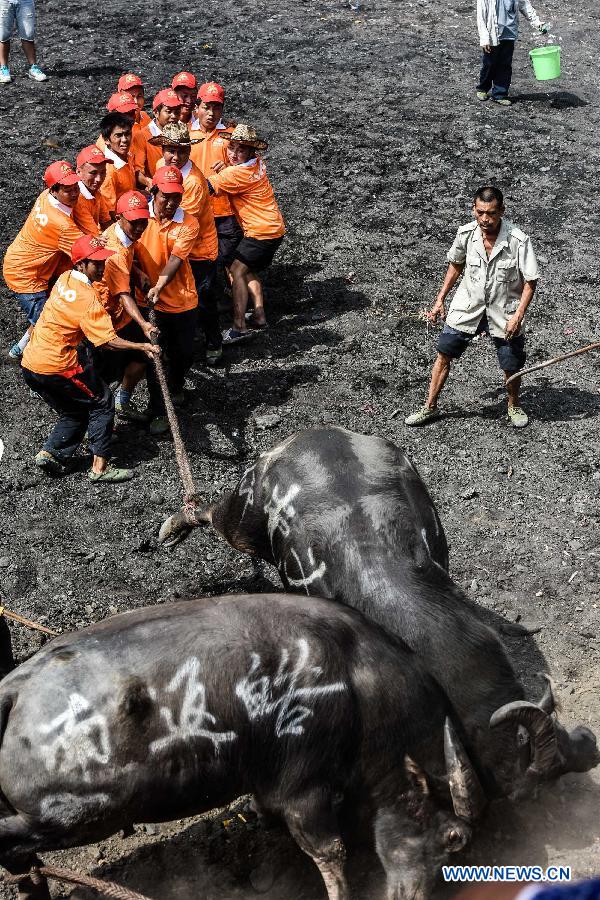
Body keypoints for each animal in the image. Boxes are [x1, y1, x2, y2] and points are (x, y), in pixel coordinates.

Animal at [0, 592, 480, 900]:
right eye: (452, 837)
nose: (411, 895)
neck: (358, 687)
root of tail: (18, 687)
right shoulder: (304, 790)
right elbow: (331, 852)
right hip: (72, 815)